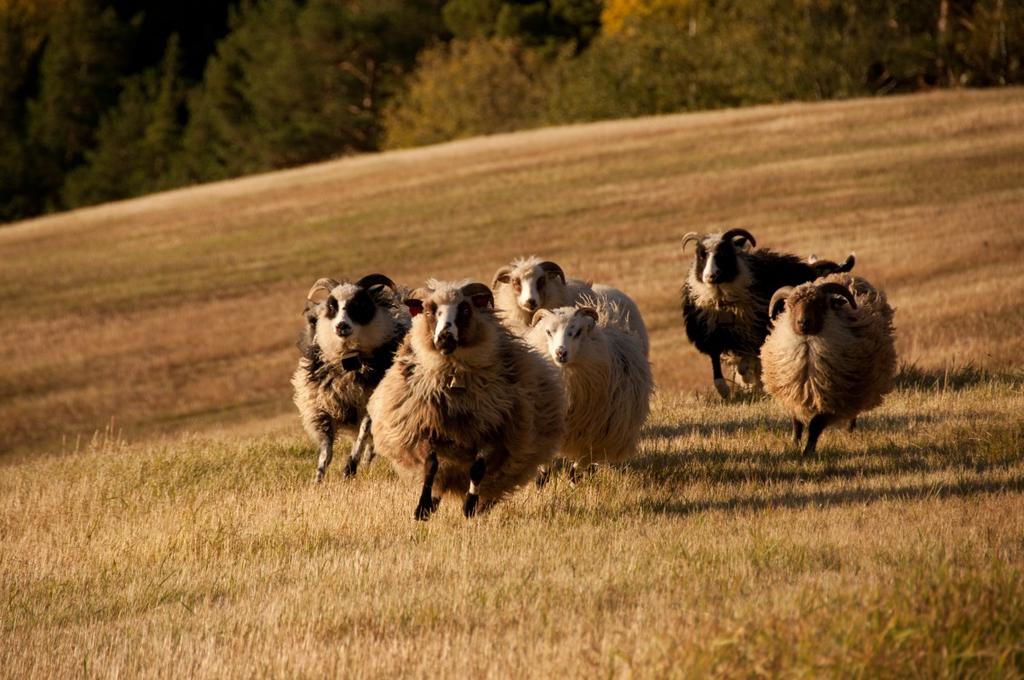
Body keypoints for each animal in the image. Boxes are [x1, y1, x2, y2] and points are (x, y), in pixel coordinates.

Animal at [288, 272, 407, 483]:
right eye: (331, 306)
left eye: (359, 304)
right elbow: (326, 450)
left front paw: (349, 469)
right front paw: (318, 479)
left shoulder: (371, 403)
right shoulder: (321, 409)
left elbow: (361, 436)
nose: (341, 326)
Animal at [524, 296, 651, 483]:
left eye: (577, 332)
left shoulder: (594, 438)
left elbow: (576, 471)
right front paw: (541, 479)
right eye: (548, 332)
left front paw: (573, 482)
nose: (561, 353)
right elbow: (544, 466)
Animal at [679, 228, 856, 399]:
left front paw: (746, 379)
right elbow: (716, 360)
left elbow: (748, 359)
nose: (709, 276)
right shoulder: (711, 334)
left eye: (723, 254)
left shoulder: (753, 332)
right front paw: (723, 389)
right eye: (701, 255)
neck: (721, 299)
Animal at [761, 272, 897, 456]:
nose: (803, 323)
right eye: (791, 305)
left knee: (853, 414)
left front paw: (808, 451)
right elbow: (797, 424)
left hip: (857, 388)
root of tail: (844, 275)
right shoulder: (793, 395)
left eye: (819, 303)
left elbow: (815, 425)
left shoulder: (834, 400)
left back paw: (849, 433)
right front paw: (794, 446)